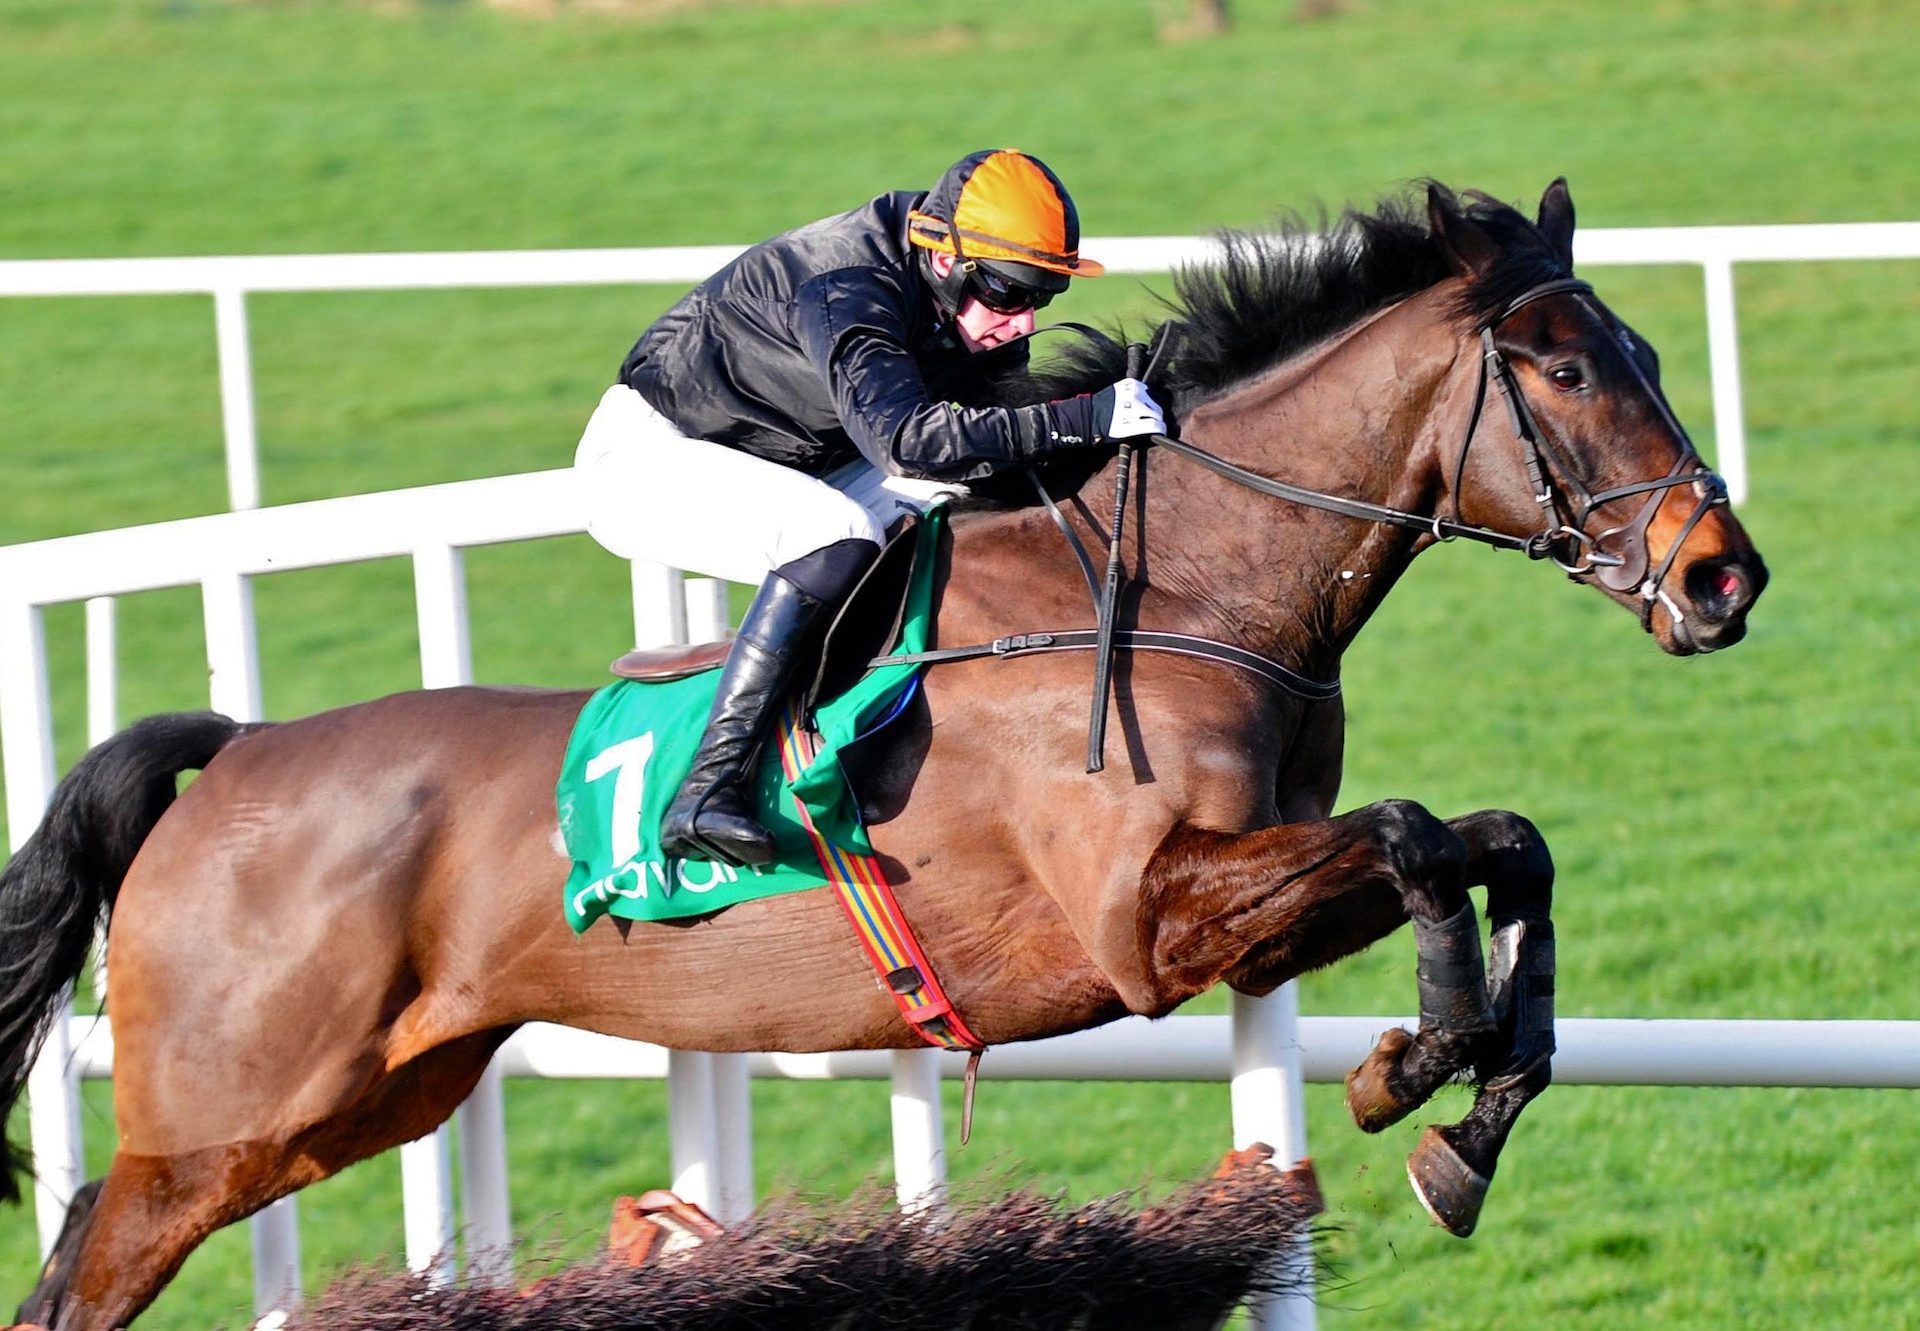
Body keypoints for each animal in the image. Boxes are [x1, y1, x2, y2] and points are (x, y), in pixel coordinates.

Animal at [3, 179, 1766, 1329]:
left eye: (1648, 352)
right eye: (1565, 367)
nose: (1720, 577)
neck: (1184, 585)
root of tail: (238, 751)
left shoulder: (1248, 907)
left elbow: (1502, 842)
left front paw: (1466, 1111)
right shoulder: (1145, 924)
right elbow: (1416, 832)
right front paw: (1423, 1063)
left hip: (367, 1092)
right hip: (222, 1118)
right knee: (89, 1267)